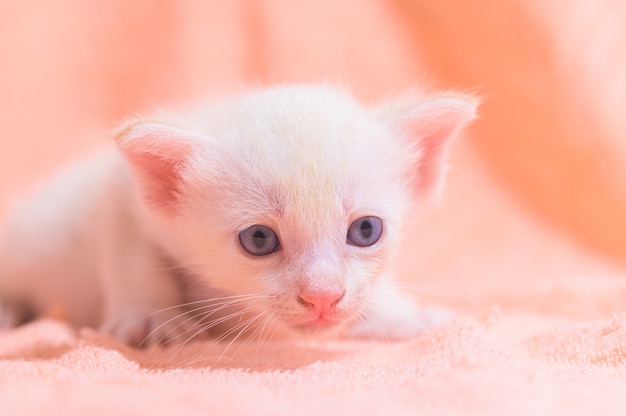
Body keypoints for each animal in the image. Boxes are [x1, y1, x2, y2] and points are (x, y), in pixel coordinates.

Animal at [0, 85, 472, 348]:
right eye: (259, 240)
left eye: (366, 230)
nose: (322, 297)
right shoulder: (119, 191)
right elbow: (133, 254)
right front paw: (153, 317)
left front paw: (398, 313)